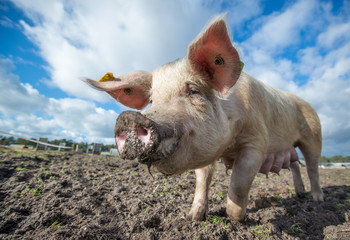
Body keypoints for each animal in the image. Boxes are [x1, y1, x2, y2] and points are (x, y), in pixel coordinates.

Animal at [86, 14, 324, 221]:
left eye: (193, 91)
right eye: (152, 99)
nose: (127, 118)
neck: (228, 146)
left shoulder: (257, 141)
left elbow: (238, 184)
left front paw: (238, 218)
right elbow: (202, 180)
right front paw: (193, 217)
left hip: (314, 136)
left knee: (312, 167)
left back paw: (316, 199)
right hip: (290, 146)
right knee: (295, 165)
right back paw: (300, 195)